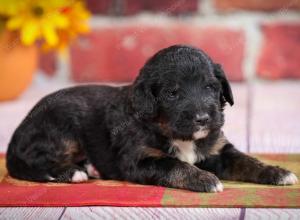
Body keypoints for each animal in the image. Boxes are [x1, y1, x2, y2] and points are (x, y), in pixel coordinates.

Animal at [6, 45, 298, 192]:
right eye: (172, 93)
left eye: (210, 87)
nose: (203, 119)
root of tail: (17, 134)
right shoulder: (139, 158)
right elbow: (174, 165)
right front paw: (206, 179)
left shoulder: (218, 148)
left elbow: (246, 161)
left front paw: (278, 172)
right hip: (60, 130)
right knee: (35, 161)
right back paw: (73, 172)